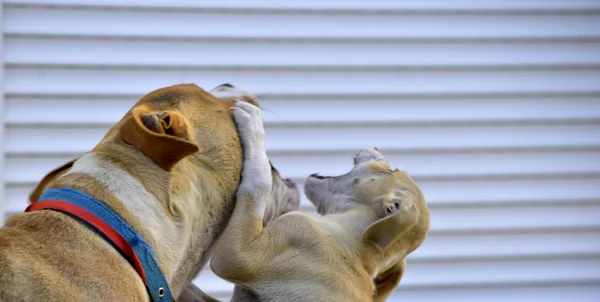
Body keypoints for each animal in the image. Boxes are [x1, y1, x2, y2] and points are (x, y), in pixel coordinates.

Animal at [209, 102, 428, 302]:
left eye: (392, 170)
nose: (375, 145)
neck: (353, 242)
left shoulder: (239, 254)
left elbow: (259, 180)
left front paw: (253, 124)